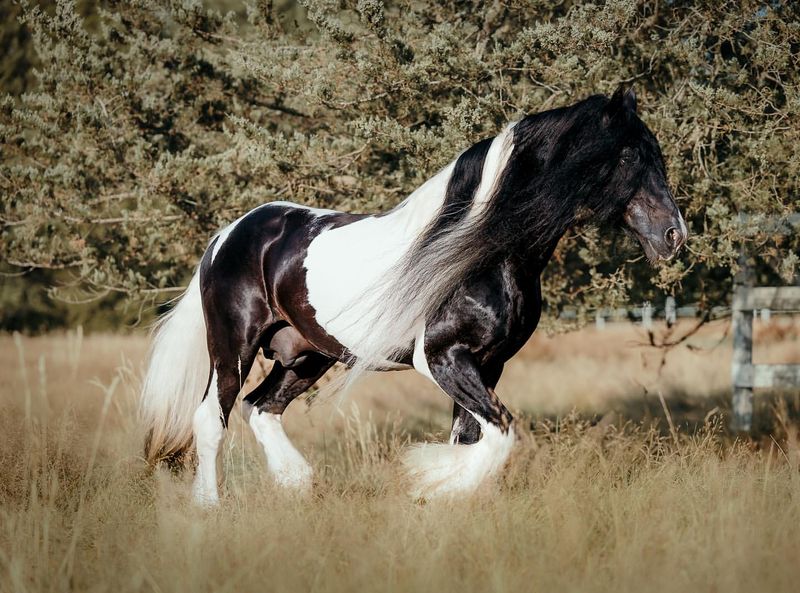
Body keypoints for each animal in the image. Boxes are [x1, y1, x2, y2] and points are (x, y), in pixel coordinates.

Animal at [141, 88, 684, 504]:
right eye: (630, 155)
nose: (675, 235)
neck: (479, 252)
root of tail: (228, 235)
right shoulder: (441, 358)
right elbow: (500, 434)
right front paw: (431, 483)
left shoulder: (489, 365)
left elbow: (473, 439)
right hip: (234, 345)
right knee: (211, 419)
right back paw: (210, 509)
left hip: (306, 355)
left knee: (262, 408)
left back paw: (297, 484)